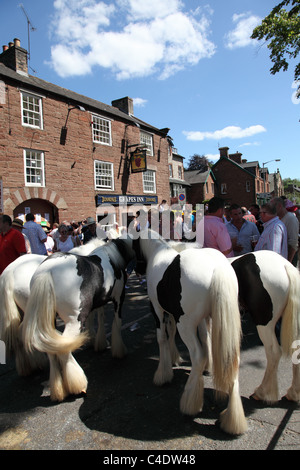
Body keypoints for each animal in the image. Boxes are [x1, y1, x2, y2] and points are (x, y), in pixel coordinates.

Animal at [21, 237, 134, 402]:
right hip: (74, 321)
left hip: (48, 322)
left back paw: (59, 390)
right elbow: (116, 323)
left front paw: (99, 343)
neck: (112, 257)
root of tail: (47, 271)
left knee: (51, 349)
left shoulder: (99, 303)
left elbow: (100, 318)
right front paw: (119, 350)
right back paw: (78, 384)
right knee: (63, 350)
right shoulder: (119, 299)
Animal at [133, 231, 246, 436]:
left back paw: (190, 402)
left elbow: (162, 338)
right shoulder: (196, 318)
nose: (137, 270)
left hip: (185, 325)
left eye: (133, 244)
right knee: (231, 358)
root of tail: (217, 268)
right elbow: (203, 337)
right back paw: (231, 419)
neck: (158, 252)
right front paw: (177, 359)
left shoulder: (158, 310)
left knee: (198, 355)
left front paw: (163, 373)